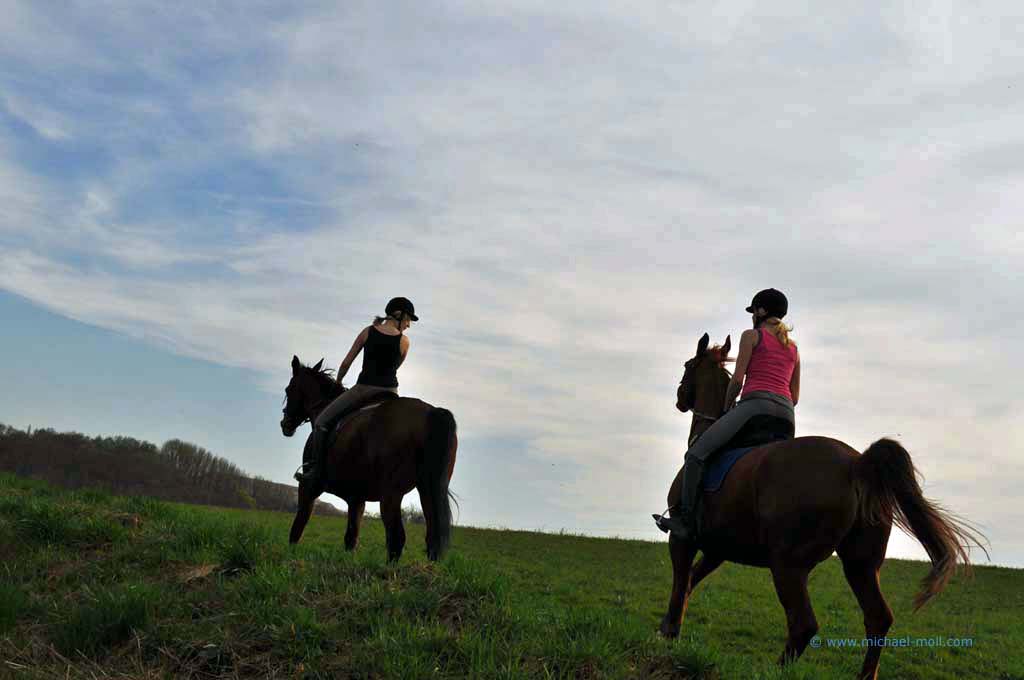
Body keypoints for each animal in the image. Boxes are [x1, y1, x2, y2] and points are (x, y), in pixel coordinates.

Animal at [280, 356, 457, 562]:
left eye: (288, 389)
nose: (285, 424)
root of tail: (432, 412)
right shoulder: (356, 499)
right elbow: (351, 538)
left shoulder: (308, 487)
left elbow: (298, 526)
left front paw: (290, 557)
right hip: (427, 490)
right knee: (432, 539)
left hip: (391, 495)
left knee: (396, 538)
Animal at [661, 333, 988, 680]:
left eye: (687, 366)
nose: (680, 397)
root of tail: (856, 463)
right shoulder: (717, 549)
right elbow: (690, 582)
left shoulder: (682, 538)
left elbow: (680, 581)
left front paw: (668, 632)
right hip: (860, 563)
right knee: (878, 618)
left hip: (788, 564)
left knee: (804, 624)